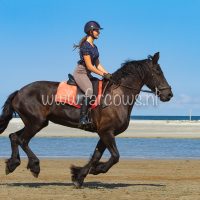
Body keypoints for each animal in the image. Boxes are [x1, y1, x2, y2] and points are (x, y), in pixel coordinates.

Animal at [0, 52, 172, 188]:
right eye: (158, 72)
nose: (169, 94)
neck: (118, 94)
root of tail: (19, 92)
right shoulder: (106, 132)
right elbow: (115, 156)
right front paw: (96, 170)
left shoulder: (105, 133)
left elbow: (96, 156)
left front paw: (79, 176)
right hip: (36, 123)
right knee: (22, 140)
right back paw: (34, 166)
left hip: (36, 122)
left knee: (14, 136)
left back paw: (12, 164)